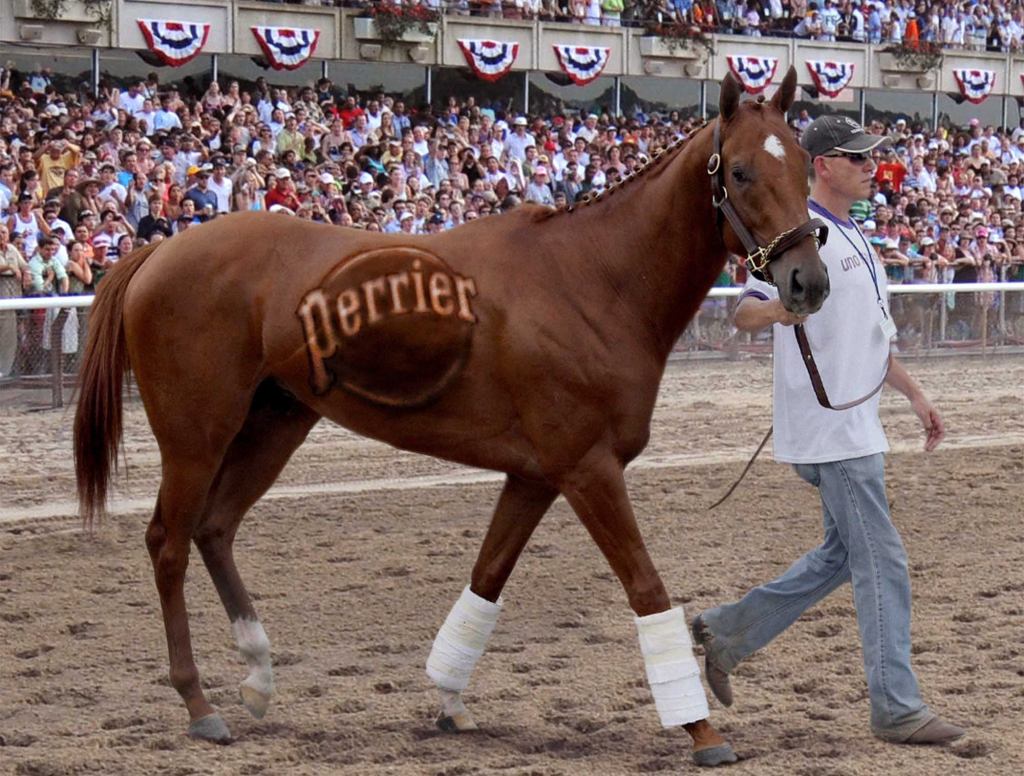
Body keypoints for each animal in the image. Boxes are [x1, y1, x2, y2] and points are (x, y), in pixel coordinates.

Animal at [74, 68, 831, 773]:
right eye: (740, 170)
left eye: (802, 163)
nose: (809, 282)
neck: (589, 279)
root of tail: (159, 252)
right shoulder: (589, 470)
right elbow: (646, 589)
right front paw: (701, 730)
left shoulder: (535, 477)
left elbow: (486, 578)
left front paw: (449, 700)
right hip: (196, 436)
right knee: (169, 542)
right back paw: (198, 702)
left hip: (275, 424)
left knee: (215, 527)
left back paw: (258, 675)